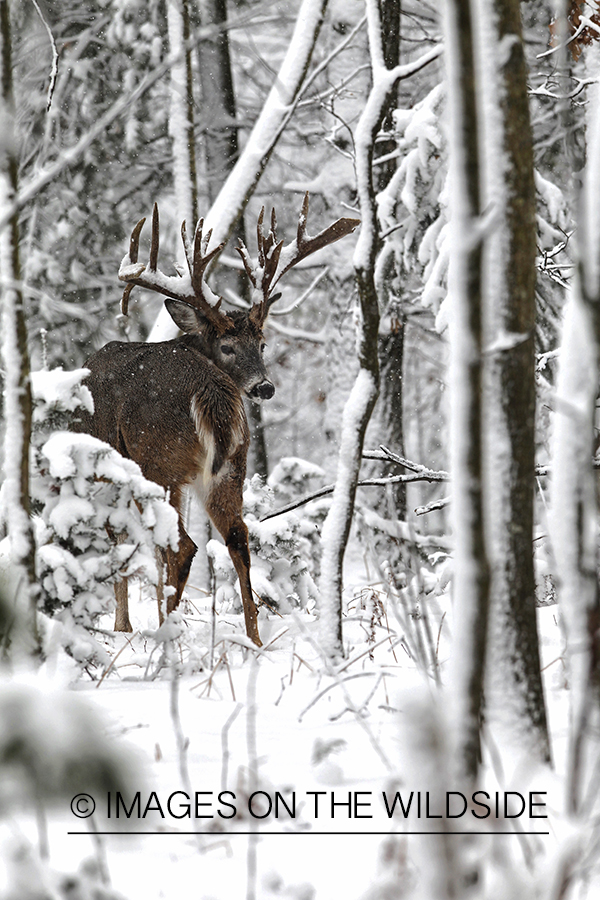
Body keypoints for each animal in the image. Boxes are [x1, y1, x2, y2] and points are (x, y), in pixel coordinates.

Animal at [74, 197, 356, 648]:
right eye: (228, 346)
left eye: (262, 344)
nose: (264, 387)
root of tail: (212, 393)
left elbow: (122, 545)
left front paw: (121, 628)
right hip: (230, 467)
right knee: (239, 538)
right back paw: (254, 640)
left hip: (159, 463)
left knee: (181, 547)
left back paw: (166, 636)